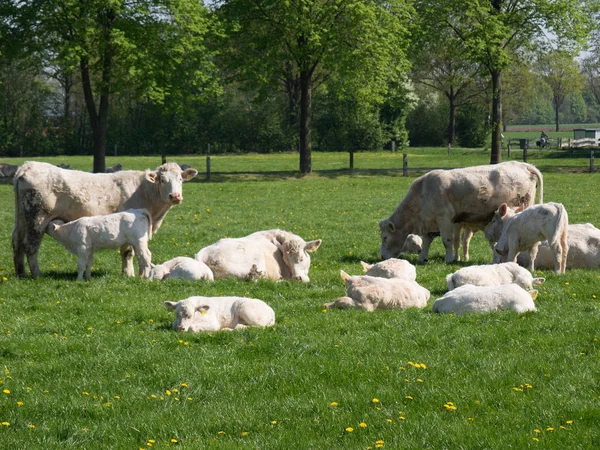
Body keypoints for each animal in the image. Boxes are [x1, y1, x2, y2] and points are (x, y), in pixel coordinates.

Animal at [12, 158, 198, 278]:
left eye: (180, 179)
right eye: (162, 180)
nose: (175, 196)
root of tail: (28, 166)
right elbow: (128, 252)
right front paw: (129, 274)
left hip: (21, 219)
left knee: (17, 243)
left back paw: (21, 273)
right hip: (37, 219)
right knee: (30, 246)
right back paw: (37, 274)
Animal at [380, 162, 544, 264]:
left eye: (385, 238)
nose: (381, 256)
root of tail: (522, 165)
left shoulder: (444, 218)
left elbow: (447, 241)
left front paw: (448, 259)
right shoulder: (431, 220)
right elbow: (427, 241)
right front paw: (423, 257)